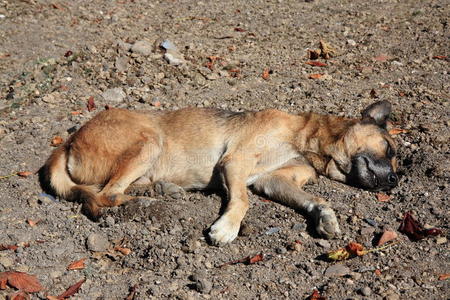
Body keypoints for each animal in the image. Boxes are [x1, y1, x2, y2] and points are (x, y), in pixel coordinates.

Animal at [38, 99, 398, 245]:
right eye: (390, 149)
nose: (395, 181)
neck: (305, 139)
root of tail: (67, 143)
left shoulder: (272, 180)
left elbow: (314, 199)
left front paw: (326, 217)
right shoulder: (234, 162)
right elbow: (242, 201)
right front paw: (227, 228)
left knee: (113, 190)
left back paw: (161, 190)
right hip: (148, 140)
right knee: (106, 195)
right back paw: (147, 203)